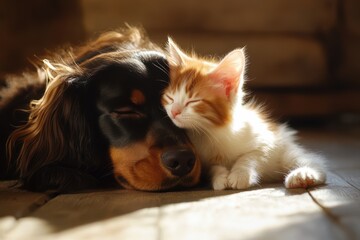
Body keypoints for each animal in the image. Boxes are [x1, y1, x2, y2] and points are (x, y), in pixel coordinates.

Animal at [162, 38, 326, 190]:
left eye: (193, 101)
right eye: (170, 98)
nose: (174, 111)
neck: (210, 131)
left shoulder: (266, 138)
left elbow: (252, 155)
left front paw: (240, 174)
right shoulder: (202, 161)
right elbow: (213, 167)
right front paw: (220, 177)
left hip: (285, 150)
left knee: (314, 162)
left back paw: (303, 175)